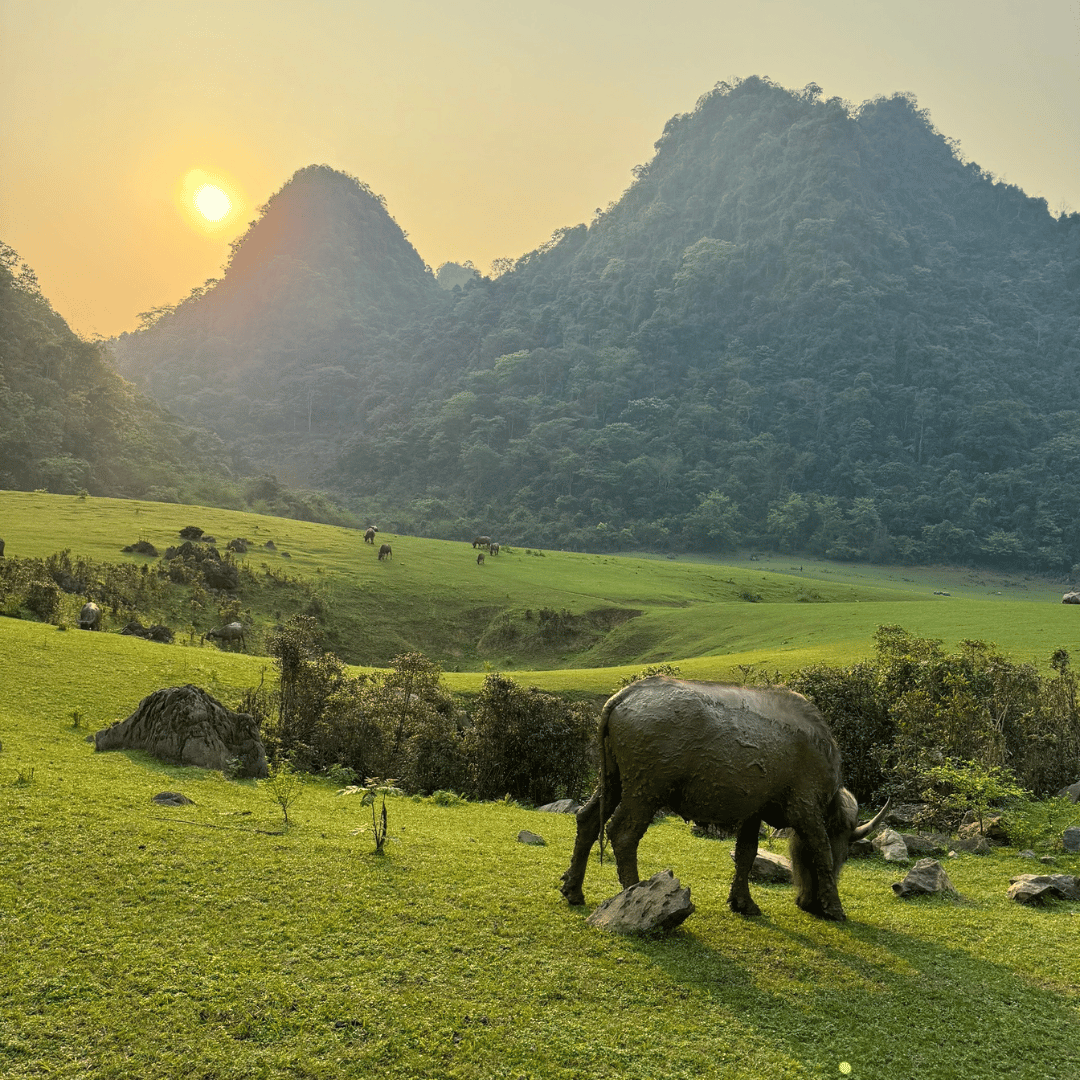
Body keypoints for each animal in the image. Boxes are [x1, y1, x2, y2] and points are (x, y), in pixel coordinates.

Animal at [565, 673, 885, 920]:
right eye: (845, 855)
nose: (808, 903)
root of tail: (625, 696)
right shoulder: (806, 811)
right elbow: (821, 853)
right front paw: (834, 907)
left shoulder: (754, 812)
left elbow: (746, 854)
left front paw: (743, 902)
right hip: (645, 790)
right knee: (623, 834)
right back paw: (633, 894)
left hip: (613, 781)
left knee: (588, 820)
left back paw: (573, 890)